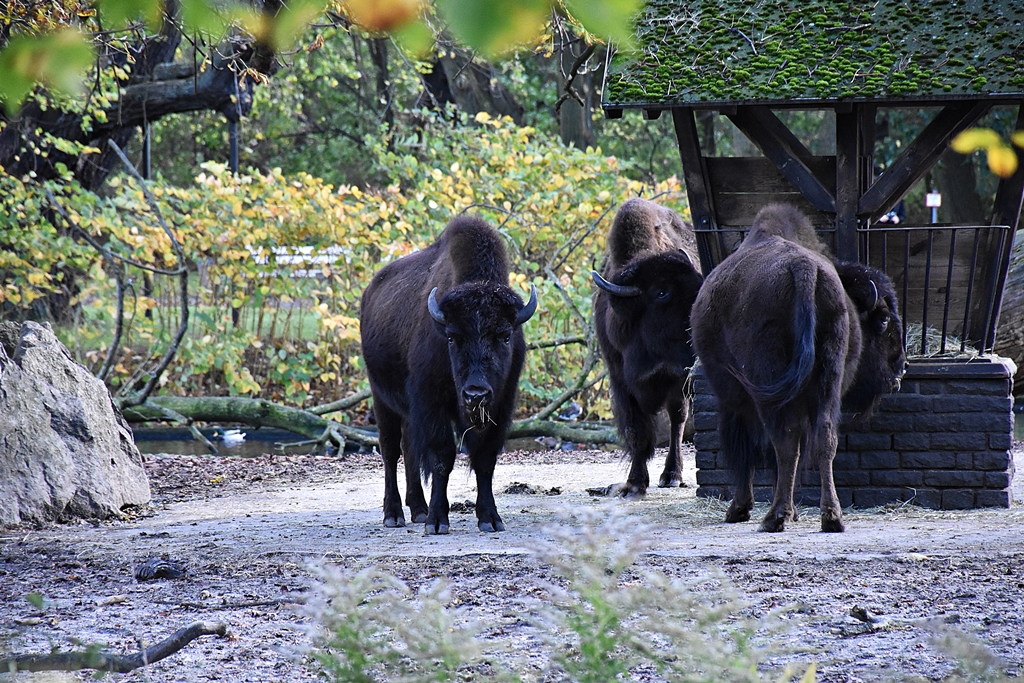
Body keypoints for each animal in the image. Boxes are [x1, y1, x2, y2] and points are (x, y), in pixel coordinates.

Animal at [360, 215, 537, 534]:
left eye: (505, 336)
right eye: (452, 337)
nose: (476, 394)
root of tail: (370, 292)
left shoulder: (500, 406)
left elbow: (484, 459)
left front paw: (490, 519)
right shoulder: (432, 403)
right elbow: (442, 457)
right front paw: (437, 521)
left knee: (409, 448)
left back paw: (418, 509)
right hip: (381, 398)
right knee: (390, 450)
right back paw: (394, 514)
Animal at [592, 198, 704, 497]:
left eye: (698, 278)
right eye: (661, 292)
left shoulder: (677, 379)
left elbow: (675, 420)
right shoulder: (621, 381)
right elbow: (637, 434)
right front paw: (634, 484)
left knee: (678, 422)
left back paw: (672, 475)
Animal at [690, 204, 906, 532]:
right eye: (883, 321)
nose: (901, 368)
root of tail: (804, 270)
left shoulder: (731, 397)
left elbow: (747, 449)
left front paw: (740, 508)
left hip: (767, 386)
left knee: (785, 441)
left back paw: (774, 517)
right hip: (826, 381)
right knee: (825, 438)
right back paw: (830, 517)